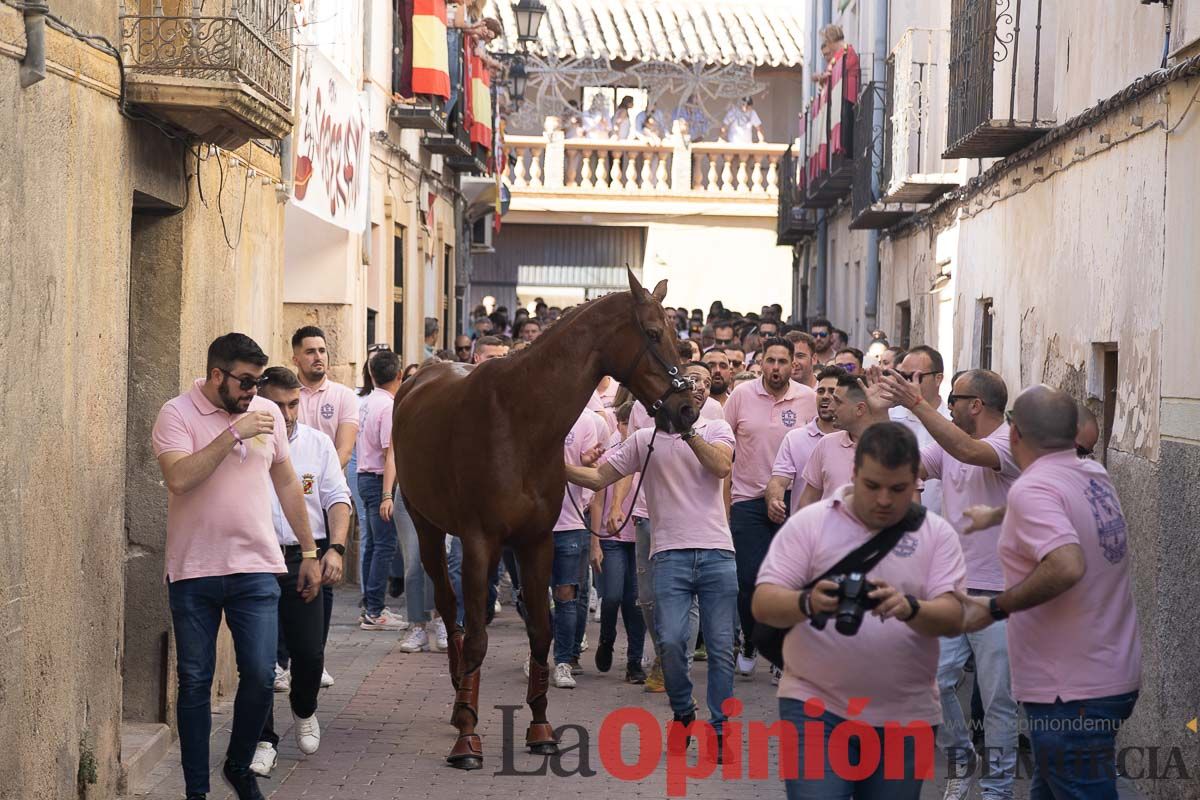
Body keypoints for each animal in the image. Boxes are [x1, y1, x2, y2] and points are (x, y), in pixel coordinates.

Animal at [393, 268, 696, 767]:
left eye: (679, 337)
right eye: (654, 333)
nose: (687, 409)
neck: (520, 419)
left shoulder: (537, 542)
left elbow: (543, 631)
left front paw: (540, 728)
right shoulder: (480, 541)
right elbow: (478, 638)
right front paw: (468, 736)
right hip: (427, 528)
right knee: (451, 608)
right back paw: (459, 701)